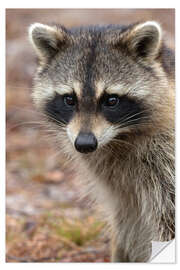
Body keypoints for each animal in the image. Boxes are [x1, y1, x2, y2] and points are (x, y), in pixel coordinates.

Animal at [28, 21, 174, 262]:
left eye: (111, 100)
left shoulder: (166, 163)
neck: (120, 138)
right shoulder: (121, 190)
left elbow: (167, 222)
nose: (85, 144)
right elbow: (126, 222)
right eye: (69, 99)